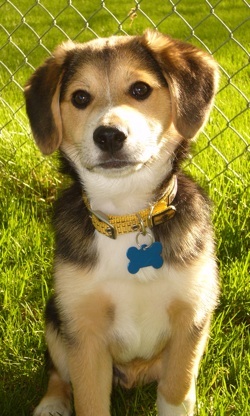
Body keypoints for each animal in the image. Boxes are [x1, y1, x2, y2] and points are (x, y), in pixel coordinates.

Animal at [24, 30, 219, 416]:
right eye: (80, 97)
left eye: (140, 89)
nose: (109, 136)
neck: (129, 215)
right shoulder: (83, 330)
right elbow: (89, 400)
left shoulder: (191, 316)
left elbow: (175, 393)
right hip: (55, 316)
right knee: (56, 371)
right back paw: (51, 403)